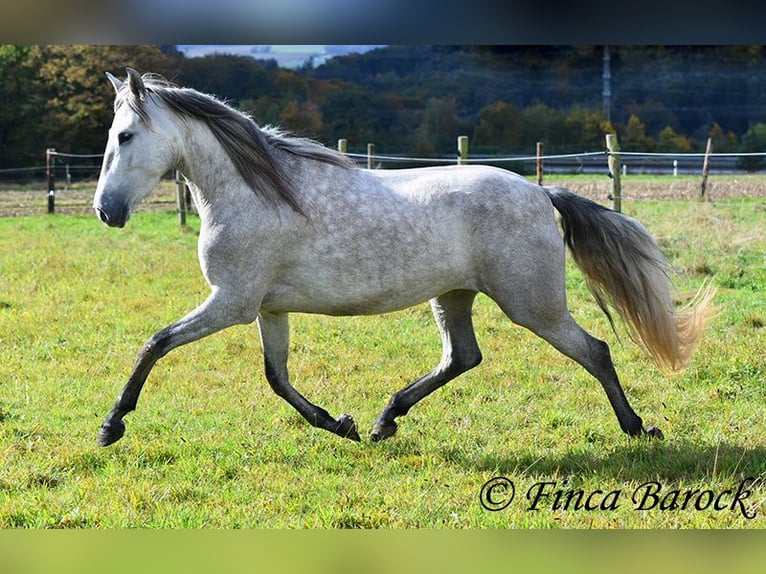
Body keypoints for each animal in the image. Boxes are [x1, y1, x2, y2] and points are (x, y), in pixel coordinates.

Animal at [93, 68, 716, 450]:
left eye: (124, 136)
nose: (106, 211)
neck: (258, 192)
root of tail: (542, 193)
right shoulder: (267, 308)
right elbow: (276, 376)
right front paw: (339, 424)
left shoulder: (231, 303)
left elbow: (156, 343)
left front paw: (110, 426)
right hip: (454, 296)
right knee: (463, 356)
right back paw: (383, 420)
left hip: (532, 304)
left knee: (595, 350)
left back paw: (638, 429)